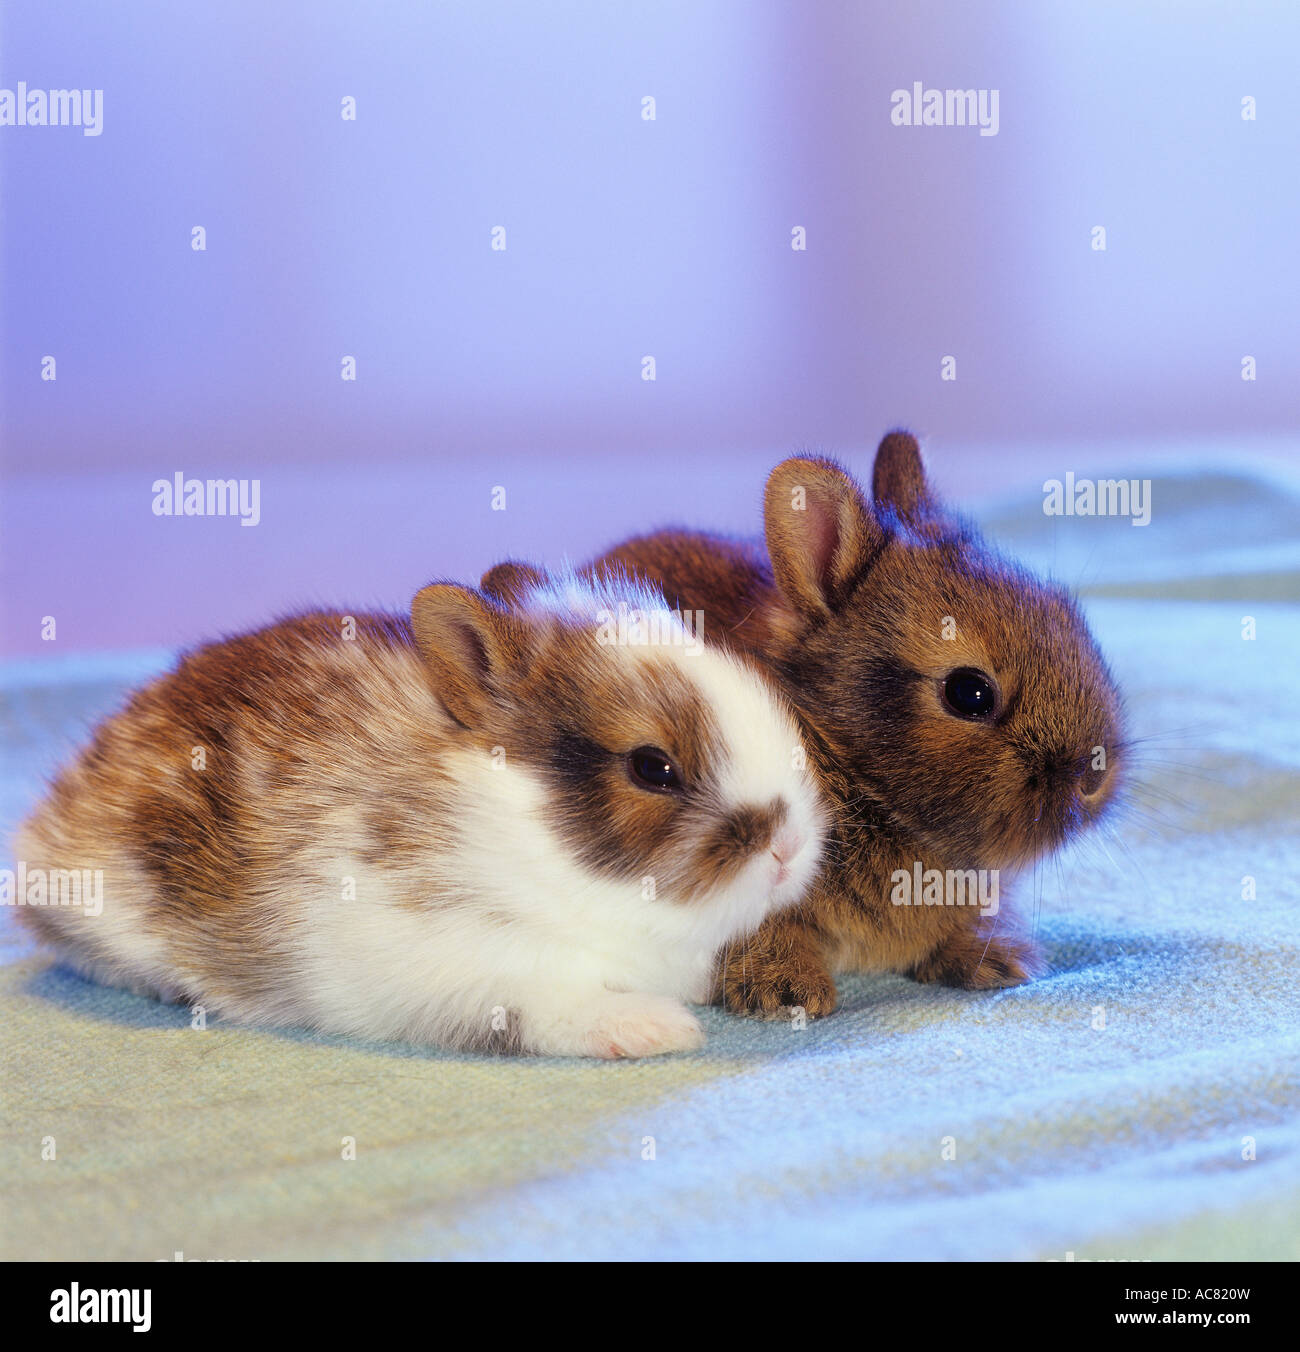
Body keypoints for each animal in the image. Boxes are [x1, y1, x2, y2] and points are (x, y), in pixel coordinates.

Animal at [582, 432, 1126, 1018]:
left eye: (1067, 613)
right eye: (970, 693)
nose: (1094, 778)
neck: (834, 750)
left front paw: (995, 961)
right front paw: (789, 992)